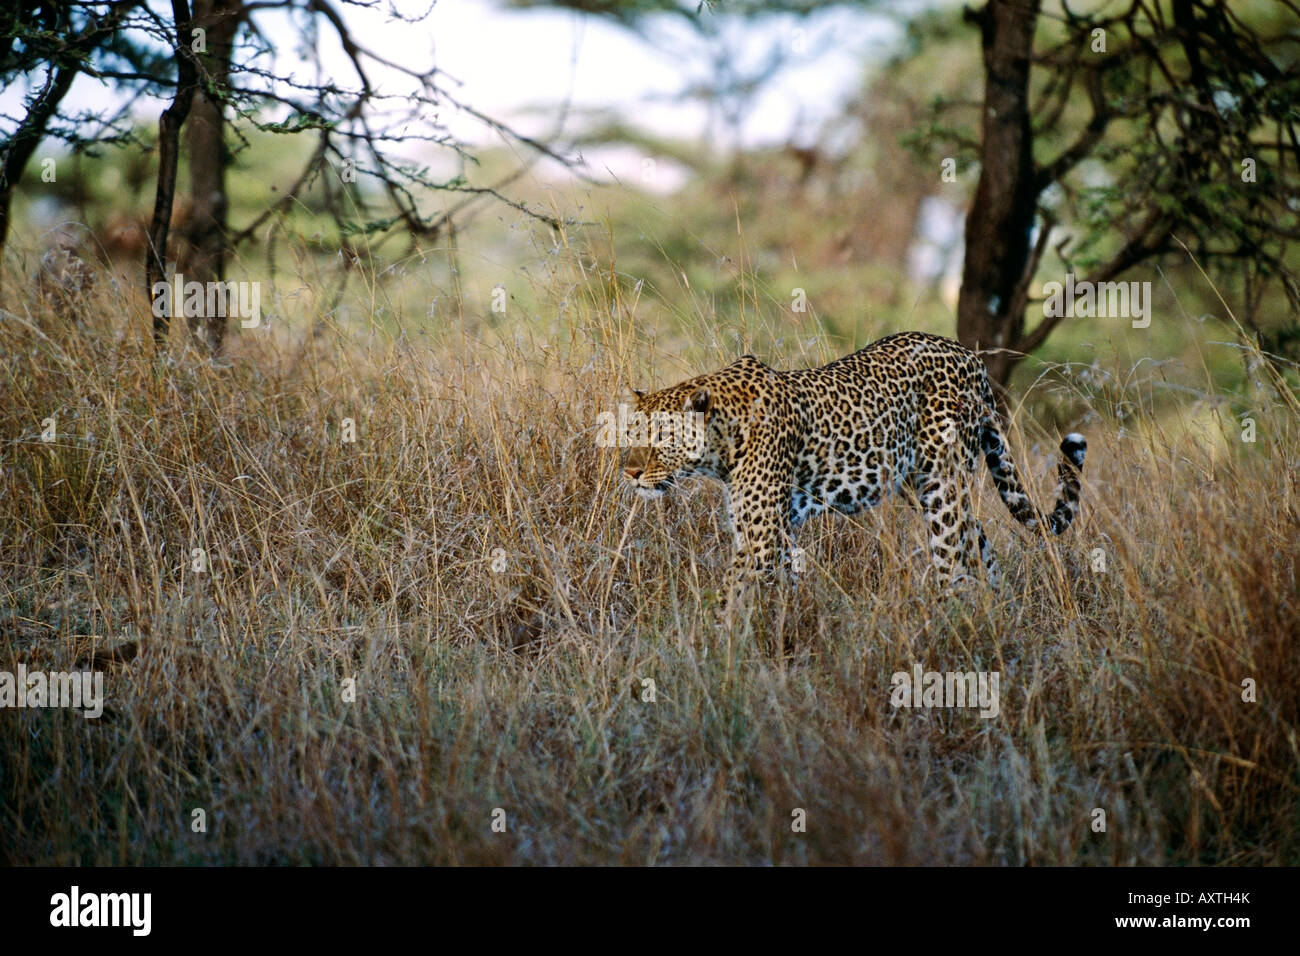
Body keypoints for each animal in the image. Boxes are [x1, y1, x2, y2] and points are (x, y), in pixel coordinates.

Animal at [619, 331, 1086, 608]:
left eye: (662, 437)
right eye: (631, 430)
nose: (630, 473)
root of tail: (972, 358)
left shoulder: (762, 540)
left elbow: (730, 600)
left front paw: (714, 649)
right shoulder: (773, 534)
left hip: (943, 489)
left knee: (955, 565)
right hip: (927, 487)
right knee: (982, 555)